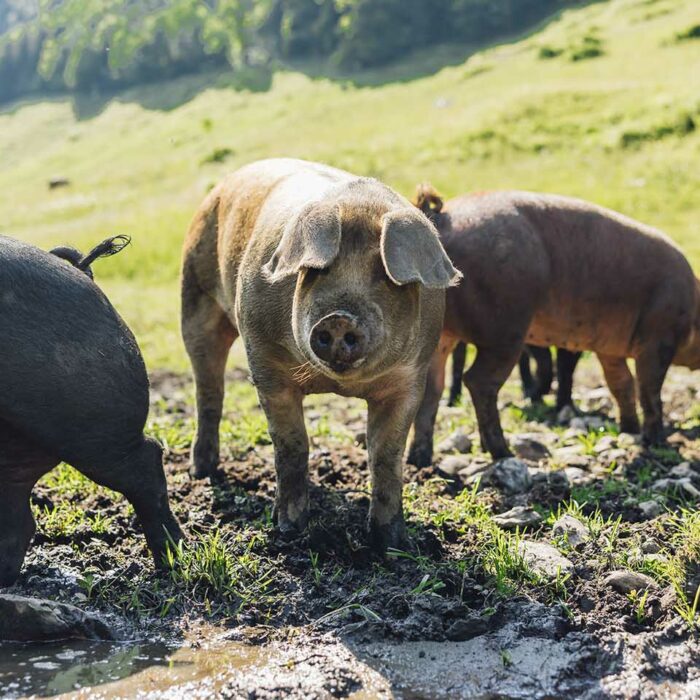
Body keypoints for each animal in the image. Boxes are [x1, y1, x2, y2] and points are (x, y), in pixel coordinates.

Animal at [180, 160, 460, 552]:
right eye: (316, 270)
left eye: (384, 274)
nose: (339, 317)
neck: (340, 385)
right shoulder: (265, 363)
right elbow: (292, 445)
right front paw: (289, 529)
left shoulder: (410, 378)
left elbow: (386, 456)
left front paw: (392, 544)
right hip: (194, 295)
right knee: (208, 391)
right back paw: (202, 471)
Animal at [408, 189, 696, 468]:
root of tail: (442, 217)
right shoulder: (658, 338)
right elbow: (649, 389)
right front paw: (658, 442)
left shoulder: (609, 350)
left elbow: (621, 384)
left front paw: (630, 430)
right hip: (506, 329)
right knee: (478, 381)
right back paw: (505, 454)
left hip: (440, 334)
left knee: (431, 388)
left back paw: (420, 460)